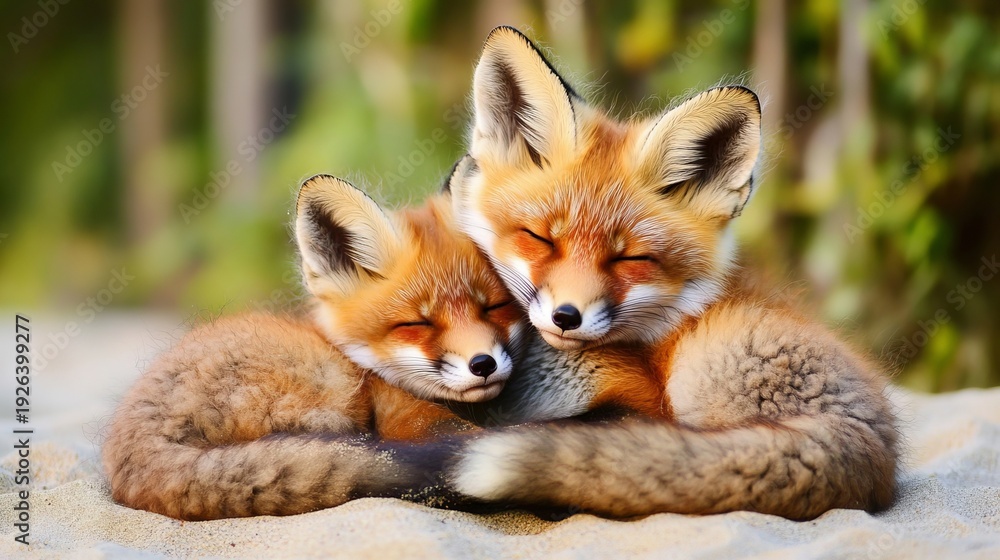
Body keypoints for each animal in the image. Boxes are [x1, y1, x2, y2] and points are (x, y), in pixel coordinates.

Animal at [101, 171, 529, 520]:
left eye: (494, 306)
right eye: (417, 323)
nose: (482, 364)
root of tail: (132, 448)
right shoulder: (408, 420)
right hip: (332, 393)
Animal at [428, 26, 900, 520]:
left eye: (629, 259)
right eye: (540, 238)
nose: (566, 317)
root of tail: (876, 446)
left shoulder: (640, 397)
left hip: (702, 369)